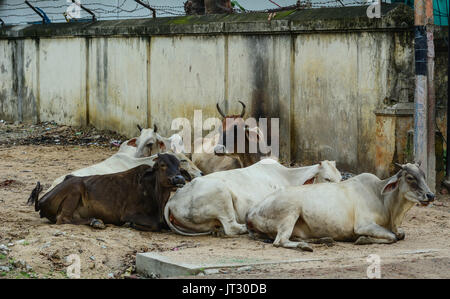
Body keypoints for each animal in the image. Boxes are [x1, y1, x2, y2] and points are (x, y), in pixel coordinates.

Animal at [26, 155, 186, 232]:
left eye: (179, 166)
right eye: (162, 165)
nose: (179, 178)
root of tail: (41, 201)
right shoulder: (129, 213)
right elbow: (155, 225)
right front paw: (131, 225)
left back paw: (95, 221)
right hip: (75, 188)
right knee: (63, 219)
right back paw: (96, 222)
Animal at [164, 159, 342, 237]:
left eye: (340, 178)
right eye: (327, 179)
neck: (289, 177)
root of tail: (172, 200)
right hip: (221, 194)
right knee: (231, 227)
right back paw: (243, 228)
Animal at [246, 163, 436, 252]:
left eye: (424, 175)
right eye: (410, 177)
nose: (431, 195)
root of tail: (251, 213)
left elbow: (400, 234)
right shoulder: (363, 225)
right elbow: (393, 237)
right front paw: (362, 240)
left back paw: (324, 240)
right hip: (291, 212)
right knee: (280, 241)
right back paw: (305, 246)